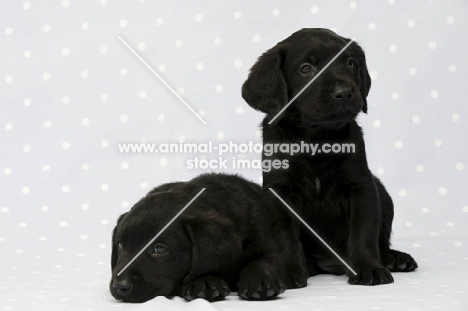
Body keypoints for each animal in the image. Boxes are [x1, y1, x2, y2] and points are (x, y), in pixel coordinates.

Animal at [110, 173, 286, 302]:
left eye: (159, 249)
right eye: (120, 245)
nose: (120, 286)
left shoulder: (264, 240)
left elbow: (262, 261)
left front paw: (260, 282)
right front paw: (205, 282)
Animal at [241, 28, 416, 288]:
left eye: (350, 63)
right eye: (306, 68)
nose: (344, 93)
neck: (317, 139)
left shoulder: (361, 185)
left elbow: (363, 231)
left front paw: (368, 268)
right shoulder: (280, 191)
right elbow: (284, 235)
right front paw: (287, 272)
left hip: (382, 192)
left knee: (381, 241)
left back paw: (394, 258)